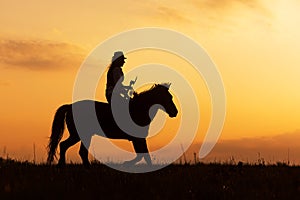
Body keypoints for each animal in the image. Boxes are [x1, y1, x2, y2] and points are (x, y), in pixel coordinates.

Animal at [47, 82, 178, 166]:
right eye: (168, 97)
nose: (175, 112)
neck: (139, 110)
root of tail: (70, 106)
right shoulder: (138, 139)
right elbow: (143, 155)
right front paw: (127, 163)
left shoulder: (138, 139)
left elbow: (145, 156)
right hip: (79, 135)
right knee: (65, 146)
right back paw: (62, 165)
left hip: (83, 135)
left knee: (78, 151)